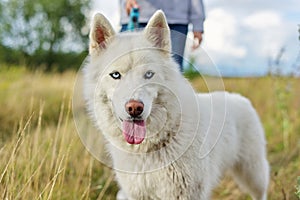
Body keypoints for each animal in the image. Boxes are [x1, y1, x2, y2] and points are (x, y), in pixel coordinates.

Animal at [82, 10, 270, 200]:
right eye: (115, 75)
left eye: (149, 74)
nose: (134, 108)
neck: (150, 148)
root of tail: (240, 98)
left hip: (253, 173)